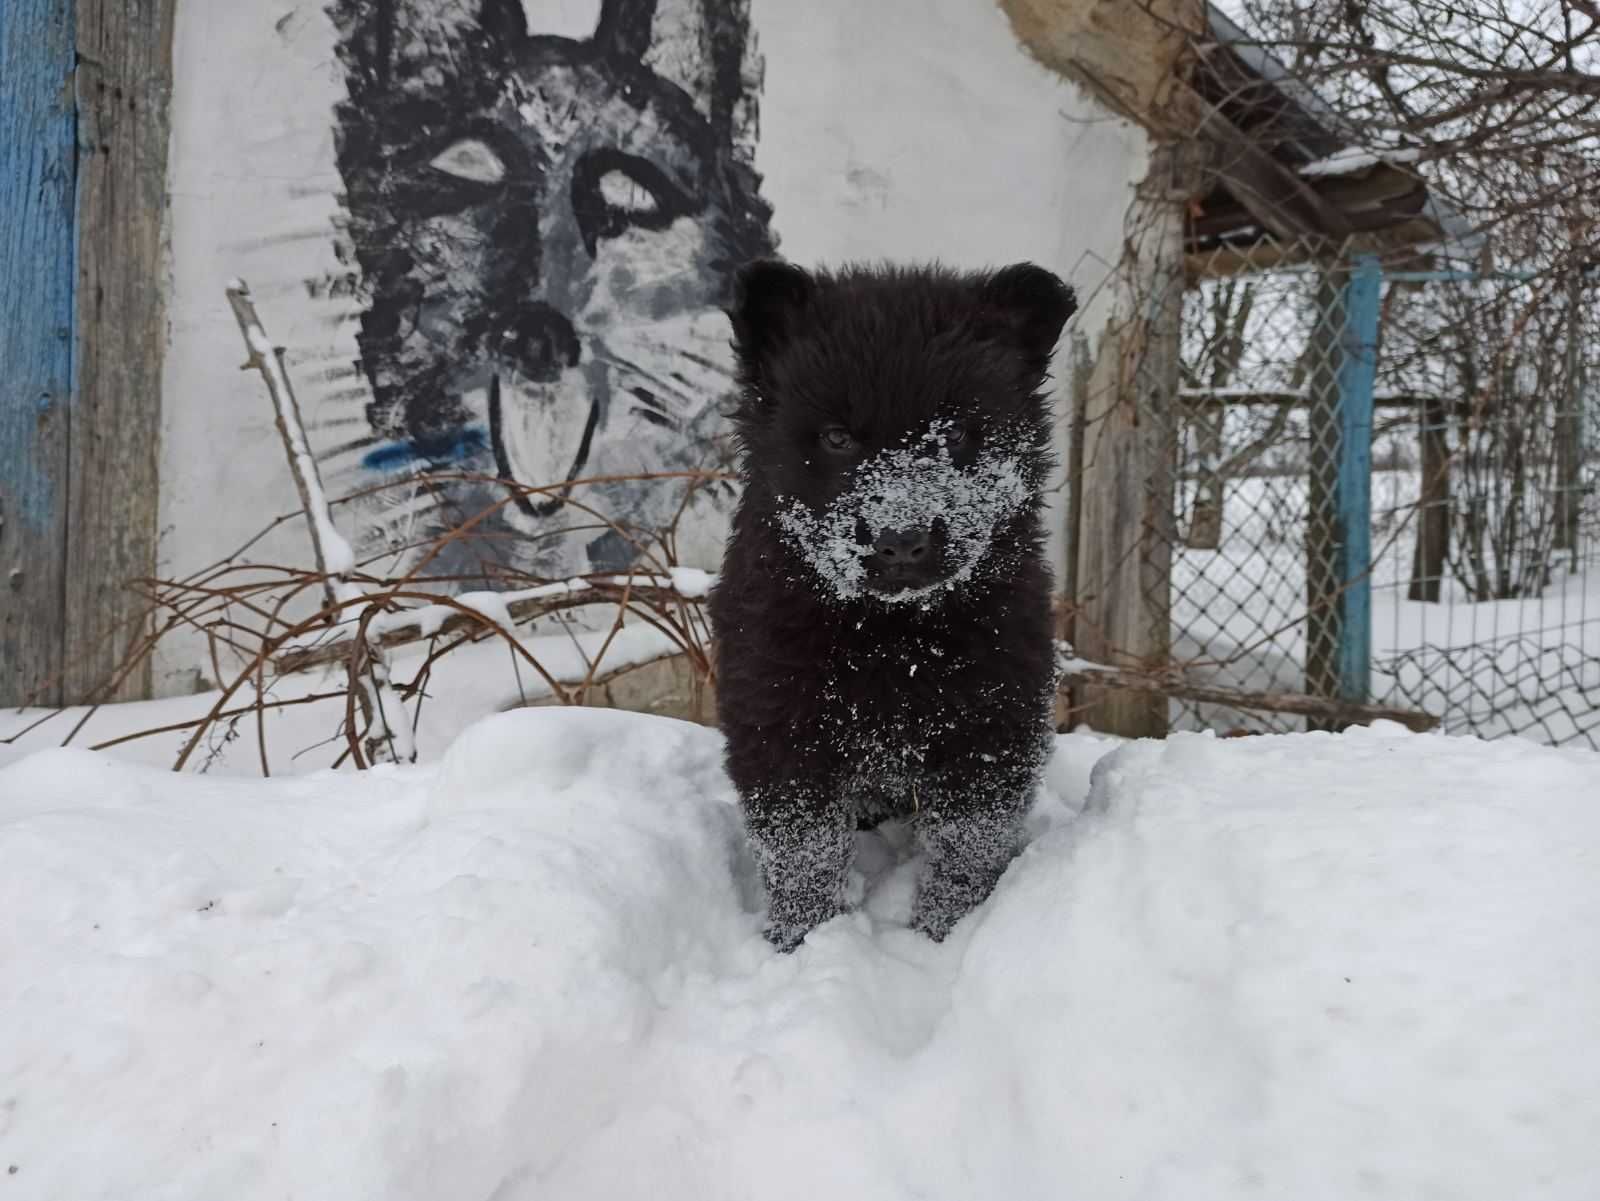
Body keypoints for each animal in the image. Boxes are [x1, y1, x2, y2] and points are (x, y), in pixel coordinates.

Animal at [710, 260, 1075, 946]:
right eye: (836, 437)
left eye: (954, 432)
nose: (901, 540)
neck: (891, 638)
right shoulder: (777, 724)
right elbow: (802, 850)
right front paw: (802, 942)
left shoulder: (992, 728)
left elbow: (968, 850)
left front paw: (946, 935)